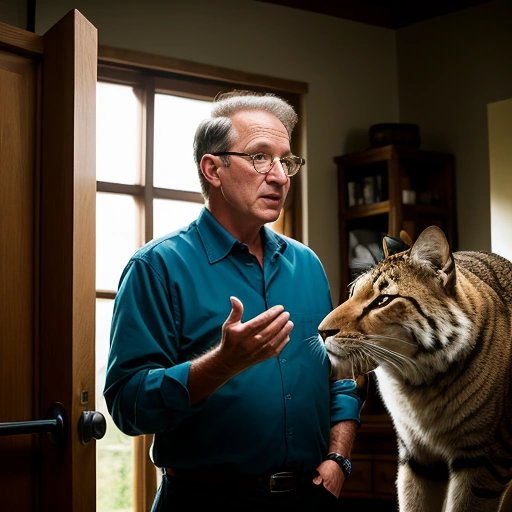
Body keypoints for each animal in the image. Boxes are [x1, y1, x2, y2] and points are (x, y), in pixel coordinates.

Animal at [320, 225, 512, 512]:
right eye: (353, 294)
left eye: (383, 301)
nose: (321, 331)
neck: (416, 383)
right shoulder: (417, 458)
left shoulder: (482, 460)